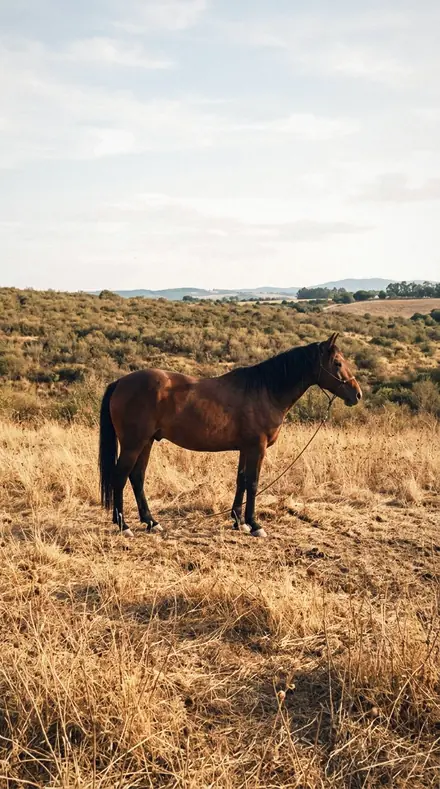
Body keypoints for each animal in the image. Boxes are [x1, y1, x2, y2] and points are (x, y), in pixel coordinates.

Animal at [99, 332, 362, 538]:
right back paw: (124, 525)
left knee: (137, 477)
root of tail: (120, 382)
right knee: (120, 477)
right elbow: (253, 483)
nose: (357, 394)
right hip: (133, 444)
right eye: (337, 363)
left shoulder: (246, 448)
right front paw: (255, 525)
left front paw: (238, 521)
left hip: (146, 443)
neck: (265, 391)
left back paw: (151, 522)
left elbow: (241, 481)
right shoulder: (257, 447)